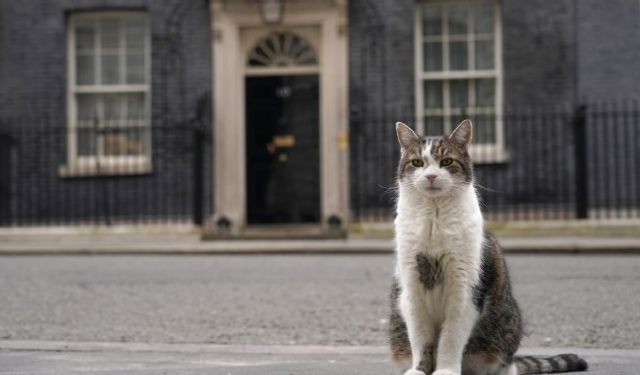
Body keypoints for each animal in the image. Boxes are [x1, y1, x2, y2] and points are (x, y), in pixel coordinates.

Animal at [388, 121, 588, 375]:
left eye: (447, 162)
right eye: (417, 163)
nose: (431, 176)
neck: (434, 218)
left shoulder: (465, 289)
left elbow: (451, 337)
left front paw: (445, 370)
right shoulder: (412, 288)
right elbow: (420, 338)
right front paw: (419, 370)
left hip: (503, 335)